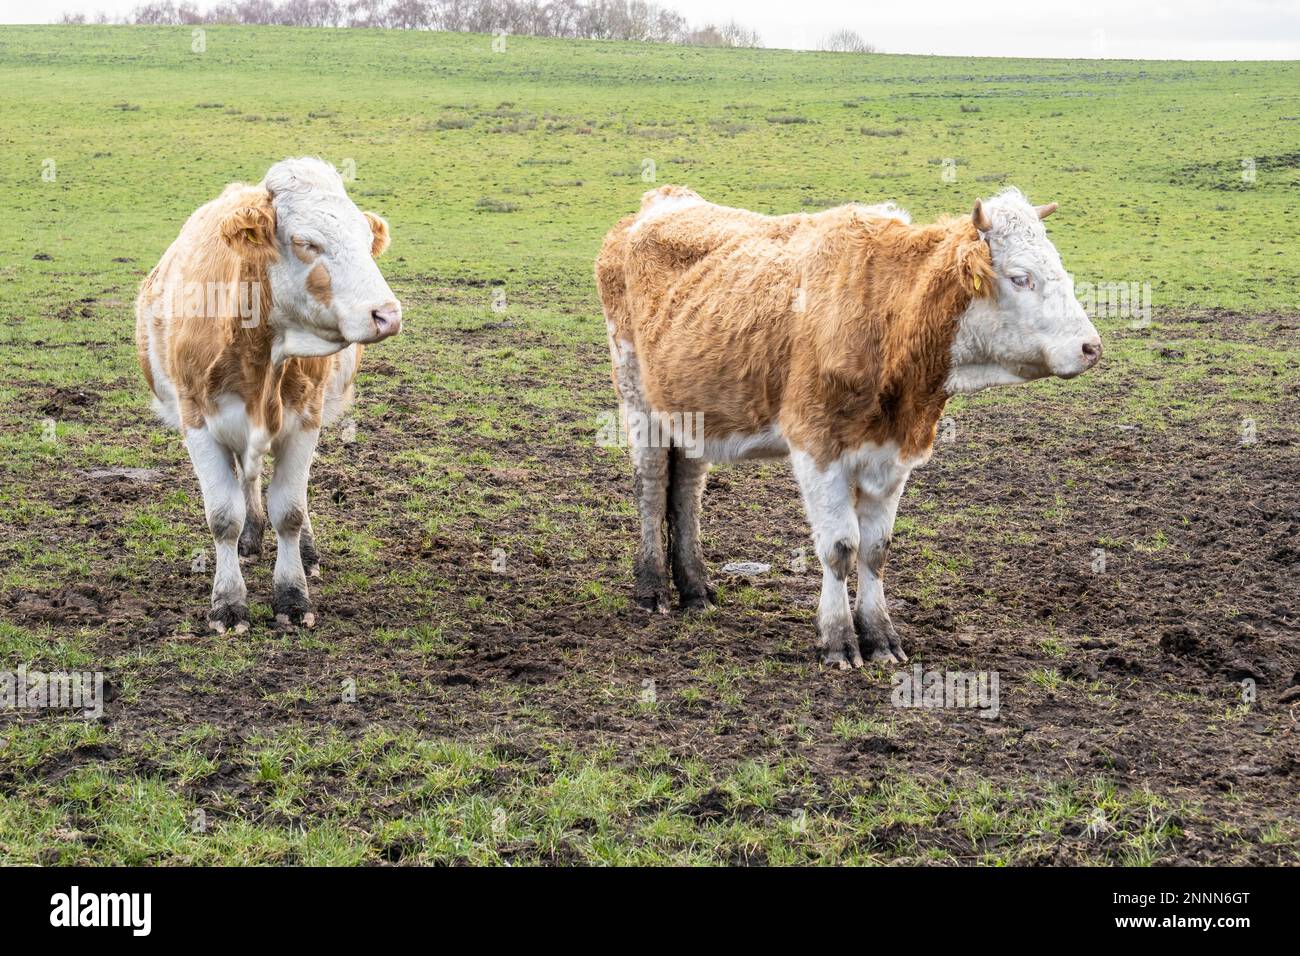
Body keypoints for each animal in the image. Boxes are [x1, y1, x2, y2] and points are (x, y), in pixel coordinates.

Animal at [136, 157, 402, 634]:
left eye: (365, 239)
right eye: (306, 242)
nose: (387, 315)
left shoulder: (304, 421)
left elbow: (290, 511)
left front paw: (292, 595)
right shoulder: (198, 423)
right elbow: (223, 516)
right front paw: (228, 601)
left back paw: (305, 552)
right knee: (248, 478)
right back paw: (250, 537)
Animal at [596, 185, 1101, 669]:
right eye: (1020, 277)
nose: (1091, 347)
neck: (886, 317)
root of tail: (660, 202)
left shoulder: (892, 455)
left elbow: (876, 550)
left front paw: (880, 637)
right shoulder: (817, 448)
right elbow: (839, 548)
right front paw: (838, 640)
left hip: (691, 412)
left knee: (686, 489)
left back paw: (696, 590)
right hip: (637, 396)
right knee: (652, 486)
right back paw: (652, 589)